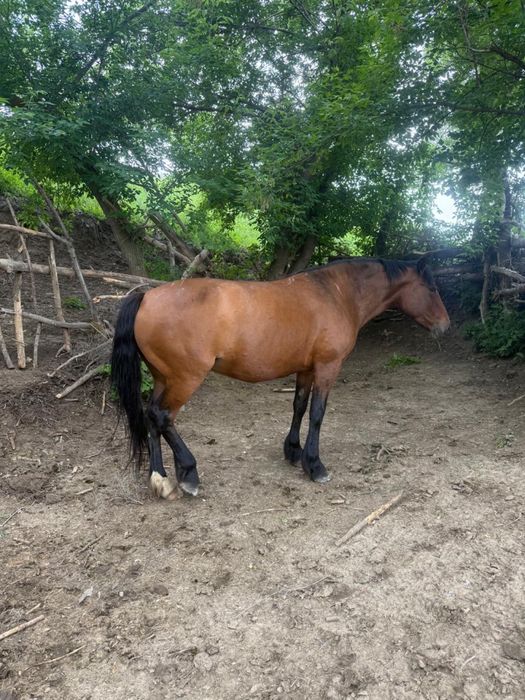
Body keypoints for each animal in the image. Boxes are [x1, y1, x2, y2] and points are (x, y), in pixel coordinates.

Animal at [110, 257, 450, 500]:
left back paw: (161, 478)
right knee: (163, 416)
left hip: (163, 377)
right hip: (186, 378)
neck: (337, 294)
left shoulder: (306, 369)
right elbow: (317, 413)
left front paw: (293, 451)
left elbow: (299, 406)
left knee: (150, 416)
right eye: (432, 289)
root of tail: (146, 297)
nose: (445, 326)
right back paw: (188, 473)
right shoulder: (327, 367)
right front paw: (314, 465)